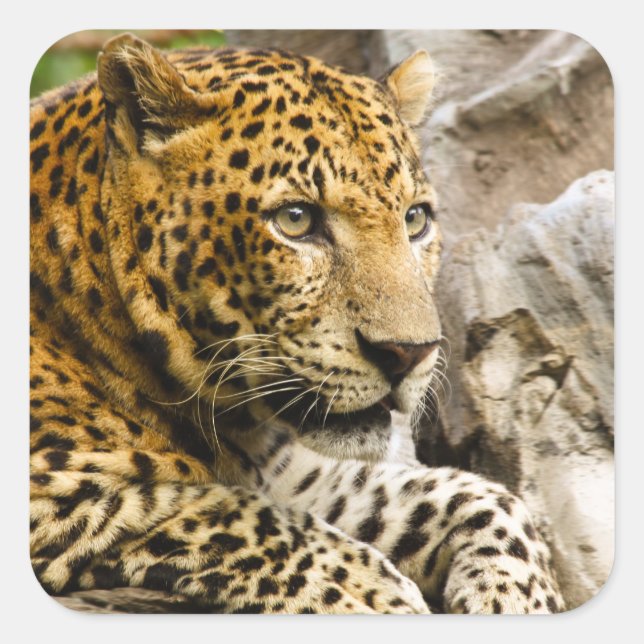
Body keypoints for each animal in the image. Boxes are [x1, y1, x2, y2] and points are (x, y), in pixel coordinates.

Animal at [29, 33, 564, 614]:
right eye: (295, 220)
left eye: (415, 219)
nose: (410, 353)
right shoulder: (57, 490)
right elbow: (232, 515)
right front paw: (375, 597)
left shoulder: (295, 473)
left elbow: (471, 495)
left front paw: (519, 599)